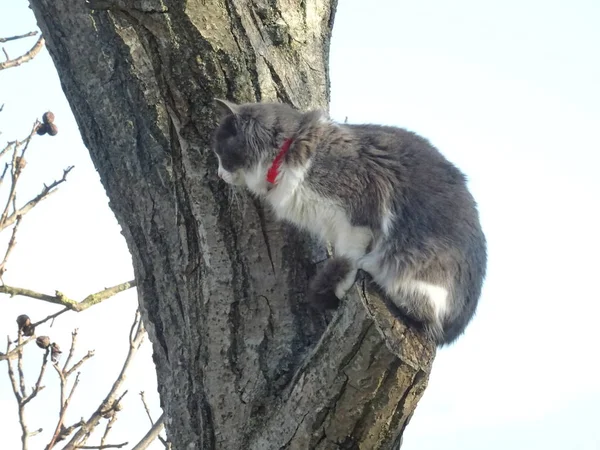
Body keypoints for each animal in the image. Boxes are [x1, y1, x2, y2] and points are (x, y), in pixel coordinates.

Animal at [213, 98, 486, 344]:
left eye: (220, 154)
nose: (218, 174)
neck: (289, 151)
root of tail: (453, 331)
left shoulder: (359, 214)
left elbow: (348, 257)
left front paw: (343, 285)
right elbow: (342, 256)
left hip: (421, 261)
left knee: (422, 309)